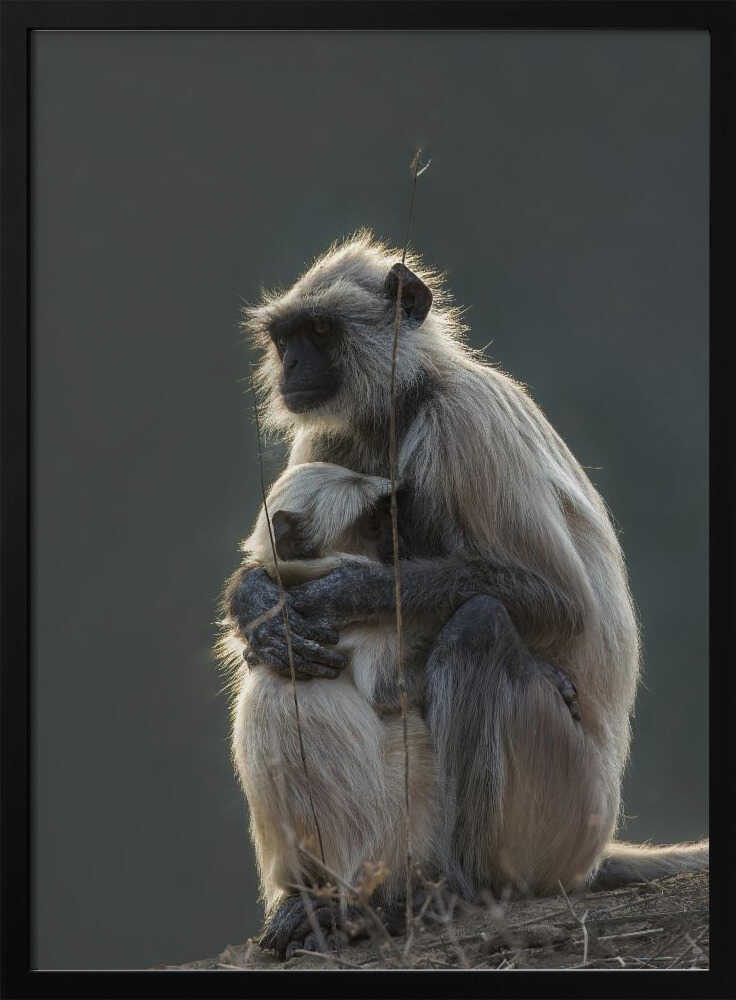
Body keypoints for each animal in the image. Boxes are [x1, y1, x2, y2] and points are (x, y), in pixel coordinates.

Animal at [222, 231, 708, 958]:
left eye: (320, 332)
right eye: (287, 338)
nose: (294, 365)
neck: (406, 399)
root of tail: (592, 850)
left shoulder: (464, 422)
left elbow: (561, 602)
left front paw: (343, 593)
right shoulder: (329, 434)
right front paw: (259, 605)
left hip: (559, 811)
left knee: (480, 623)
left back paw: (456, 890)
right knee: (282, 673)